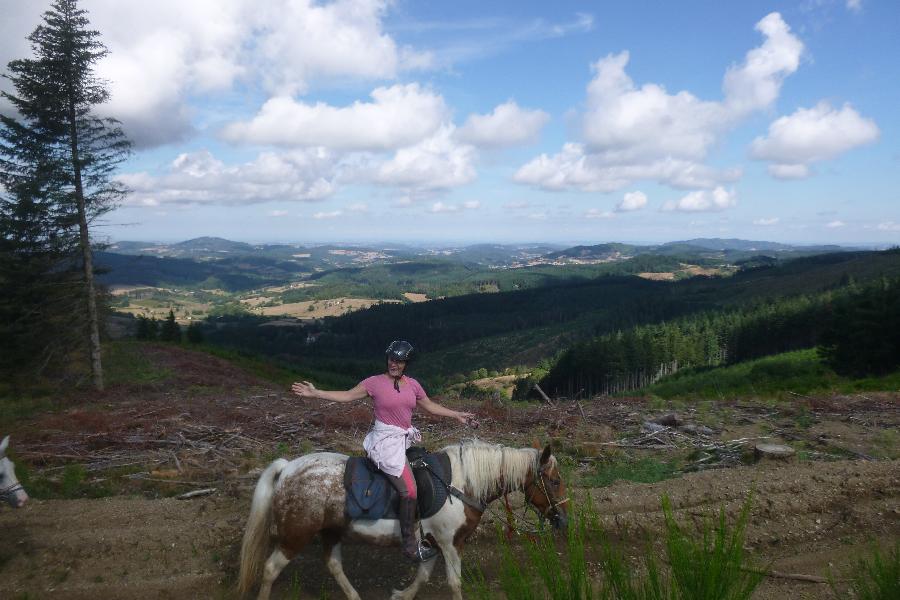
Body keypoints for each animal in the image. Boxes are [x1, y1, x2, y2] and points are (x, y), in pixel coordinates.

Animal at [236, 440, 568, 600]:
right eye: (554, 481)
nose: (563, 520)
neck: (462, 483)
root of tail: (287, 467)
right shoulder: (450, 544)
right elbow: (454, 583)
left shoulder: (431, 544)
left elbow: (422, 577)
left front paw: (402, 594)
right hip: (296, 536)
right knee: (270, 569)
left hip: (330, 531)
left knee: (333, 564)